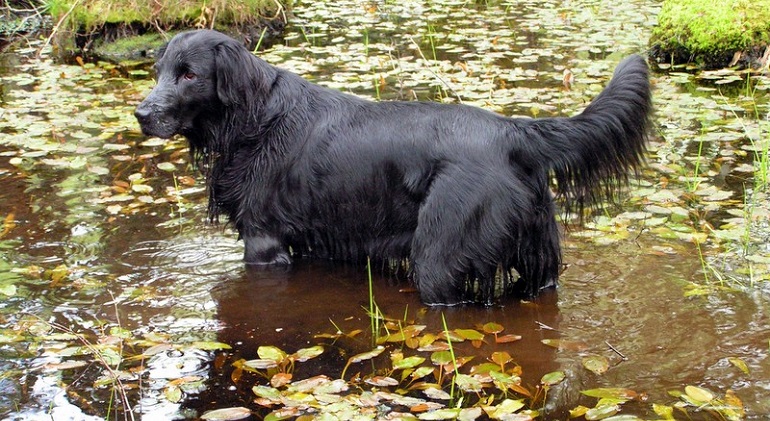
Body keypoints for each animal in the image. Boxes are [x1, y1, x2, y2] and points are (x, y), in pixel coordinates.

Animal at [134, 29, 648, 306]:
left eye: (189, 74)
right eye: (158, 71)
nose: (141, 115)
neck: (255, 119)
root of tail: (514, 131)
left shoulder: (263, 240)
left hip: (441, 257)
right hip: (538, 260)